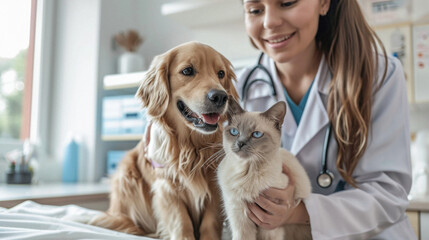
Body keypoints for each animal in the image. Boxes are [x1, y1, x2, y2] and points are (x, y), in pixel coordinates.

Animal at [217, 98, 310, 240]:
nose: (240, 143)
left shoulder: (270, 225)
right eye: (234, 132)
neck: (247, 172)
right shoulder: (240, 220)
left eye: (256, 134)